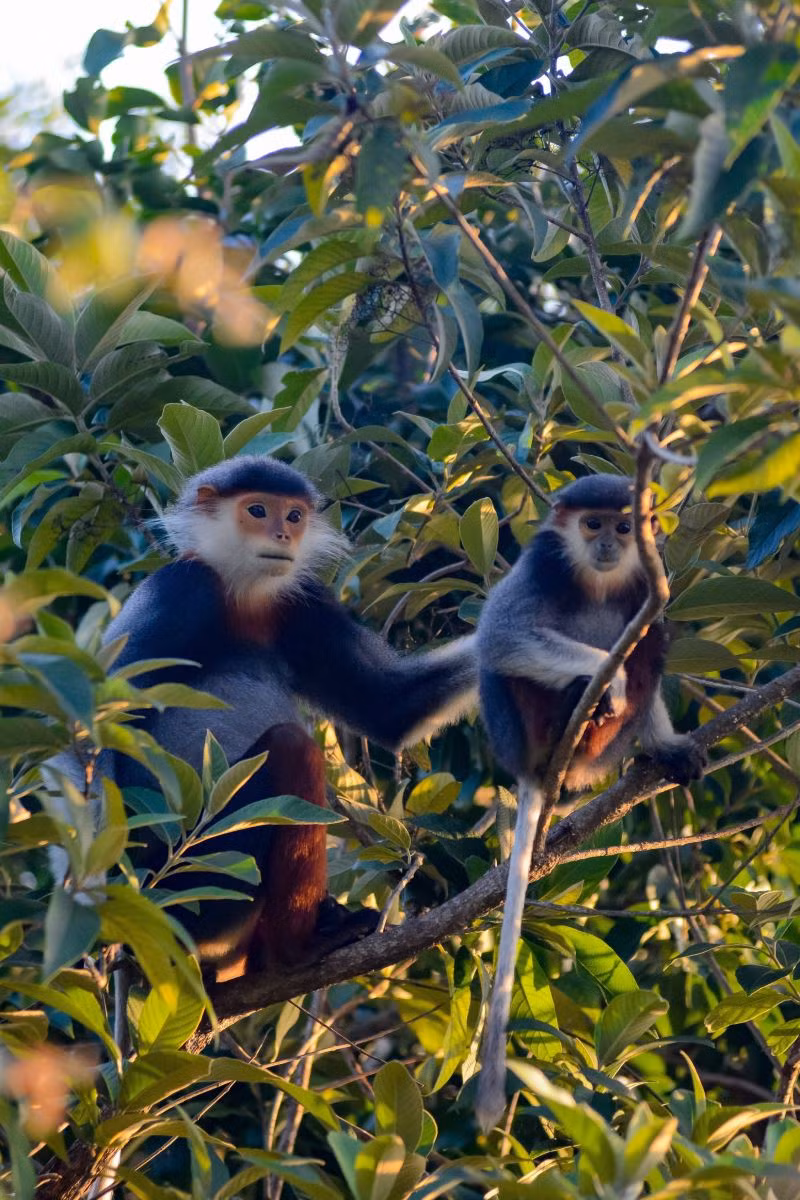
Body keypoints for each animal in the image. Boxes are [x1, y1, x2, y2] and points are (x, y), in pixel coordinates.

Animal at [53, 456, 477, 979]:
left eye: (294, 516)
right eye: (257, 510)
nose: (283, 535)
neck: (243, 594)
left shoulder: (301, 604)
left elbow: (391, 707)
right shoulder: (181, 589)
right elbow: (91, 727)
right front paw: (89, 894)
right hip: (203, 878)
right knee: (291, 747)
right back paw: (297, 950)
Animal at [473, 474, 707, 1131]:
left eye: (624, 527)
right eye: (592, 524)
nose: (607, 544)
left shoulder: (649, 584)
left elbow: (652, 631)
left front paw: (667, 744)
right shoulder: (542, 564)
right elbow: (500, 635)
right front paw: (610, 679)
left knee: (654, 642)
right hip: (518, 727)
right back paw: (581, 705)